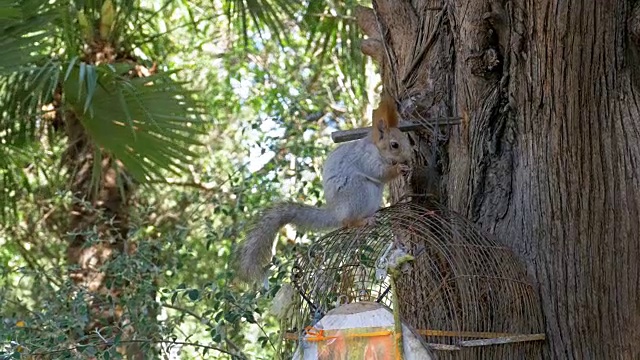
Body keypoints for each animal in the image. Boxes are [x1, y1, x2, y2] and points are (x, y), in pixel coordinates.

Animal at [238, 94, 412, 282]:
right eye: (394, 145)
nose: (409, 156)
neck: (377, 149)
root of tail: (336, 212)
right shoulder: (365, 158)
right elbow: (379, 173)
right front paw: (399, 168)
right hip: (359, 191)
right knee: (347, 222)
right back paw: (363, 220)